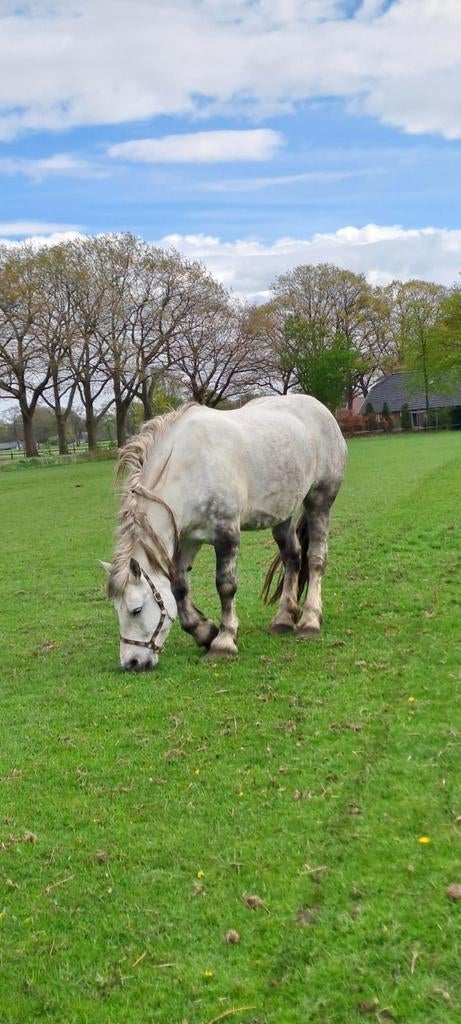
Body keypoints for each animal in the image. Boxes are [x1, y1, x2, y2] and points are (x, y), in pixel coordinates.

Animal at [101, 394, 347, 671]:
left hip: (320, 500)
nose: (131, 662)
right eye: (117, 610)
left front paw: (224, 641)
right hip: (282, 513)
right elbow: (178, 587)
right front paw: (204, 632)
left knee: (315, 558)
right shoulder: (188, 539)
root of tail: (320, 408)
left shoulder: (227, 534)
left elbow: (226, 586)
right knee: (292, 558)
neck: (189, 466)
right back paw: (283, 619)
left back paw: (310, 620)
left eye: (136, 609)